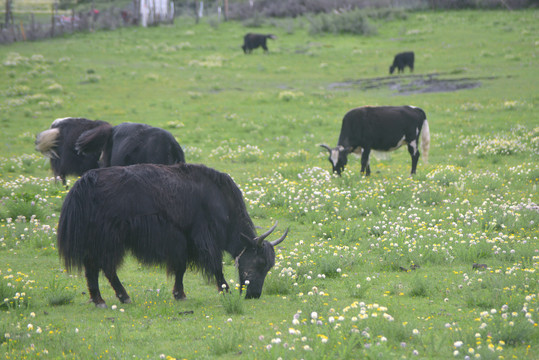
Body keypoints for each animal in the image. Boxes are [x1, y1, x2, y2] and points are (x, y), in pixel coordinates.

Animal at [57, 163, 288, 306]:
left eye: (269, 266)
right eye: (259, 263)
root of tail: (83, 184)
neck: (221, 203)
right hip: (108, 239)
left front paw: (180, 294)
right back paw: (116, 298)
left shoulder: (184, 241)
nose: (254, 295)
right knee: (103, 267)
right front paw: (226, 291)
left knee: (95, 268)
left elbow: (180, 268)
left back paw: (104, 299)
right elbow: (214, 265)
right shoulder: (203, 239)